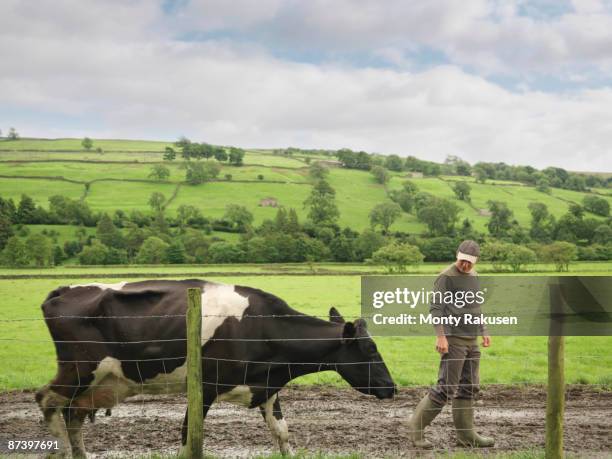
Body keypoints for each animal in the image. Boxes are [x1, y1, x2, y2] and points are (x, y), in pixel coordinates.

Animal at [35, 278, 394, 458]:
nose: (392, 387)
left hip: (98, 381)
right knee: (47, 400)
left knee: (73, 414)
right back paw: (62, 452)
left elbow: (282, 433)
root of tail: (62, 290)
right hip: (79, 368)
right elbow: (186, 439)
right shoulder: (205, 388)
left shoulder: (267, 386)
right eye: (370, 349)